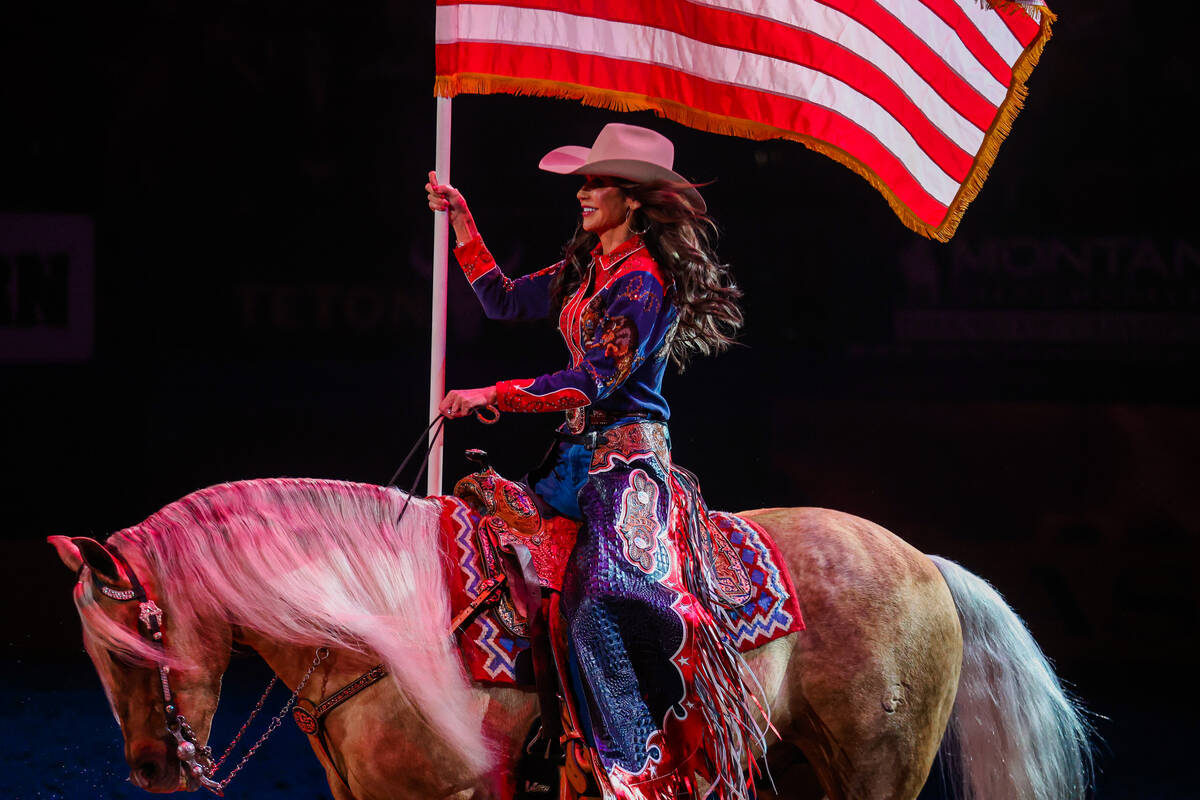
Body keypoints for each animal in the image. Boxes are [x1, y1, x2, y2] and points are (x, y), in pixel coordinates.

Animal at [51, 479, 1094, 796]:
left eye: (139, 644)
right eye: (94, 658)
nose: (151, 771)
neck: (380, 628)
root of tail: (925, 563)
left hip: (881, 773)